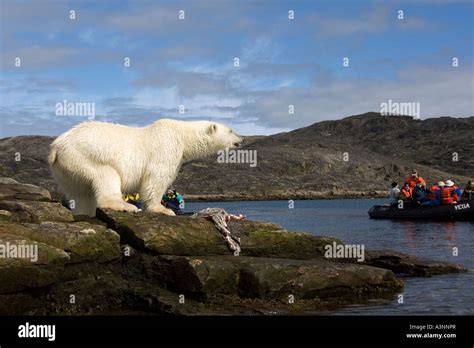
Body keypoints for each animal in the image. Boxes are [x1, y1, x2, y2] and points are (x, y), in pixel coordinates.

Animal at [48, 121, 243, 216]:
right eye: (231, 130)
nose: (241, 140)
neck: (182, 135)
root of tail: (57, 146)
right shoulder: (166, 148)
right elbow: (156, 179)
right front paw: (162, 209)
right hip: (88, 155)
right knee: (106, 176)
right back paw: (124, 205)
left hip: (68, 167)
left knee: (80, 192)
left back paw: (85, 212)